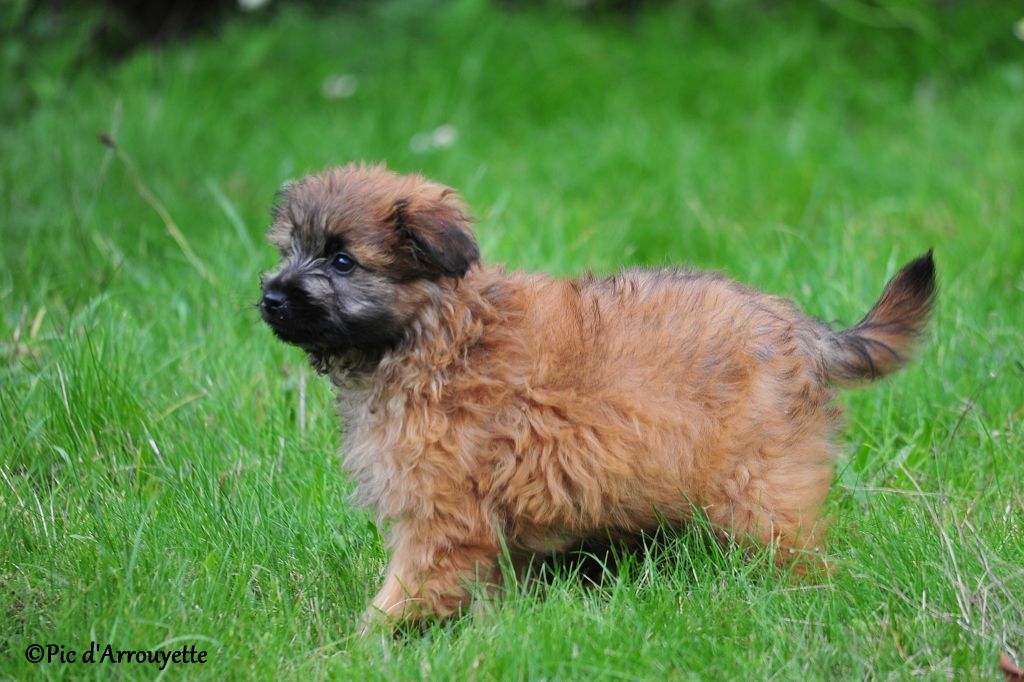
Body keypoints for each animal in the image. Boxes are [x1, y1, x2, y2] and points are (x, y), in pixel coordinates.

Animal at [258, 161, 937, 630]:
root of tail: (800, 329)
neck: (433, 333)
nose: (270, 296)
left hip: (759, 484)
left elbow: (405, 588)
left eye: (342, 261)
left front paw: (359, 644)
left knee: (798, 555)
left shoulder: (442, 512)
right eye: (290, 250)